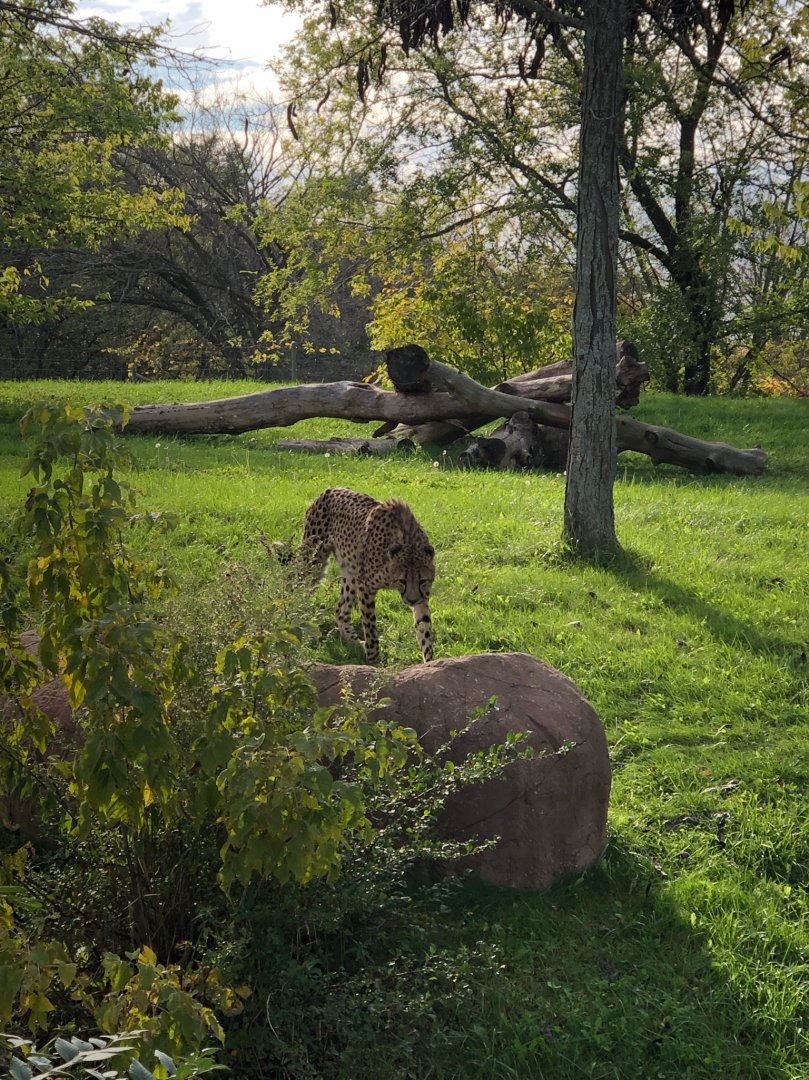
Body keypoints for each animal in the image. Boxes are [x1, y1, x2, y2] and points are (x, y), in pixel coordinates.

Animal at [298, 487, 435, 664]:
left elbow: (424, 628)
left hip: (350, 571)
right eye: (402, 580)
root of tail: (329, 490)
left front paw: (430, 662)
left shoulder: (422, 596)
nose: (411, 600)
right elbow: (370, 627)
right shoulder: (366, 587)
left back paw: (353, 641)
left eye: (422, 580)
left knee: (340, 610)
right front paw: (374, 659)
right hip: (312, 561)